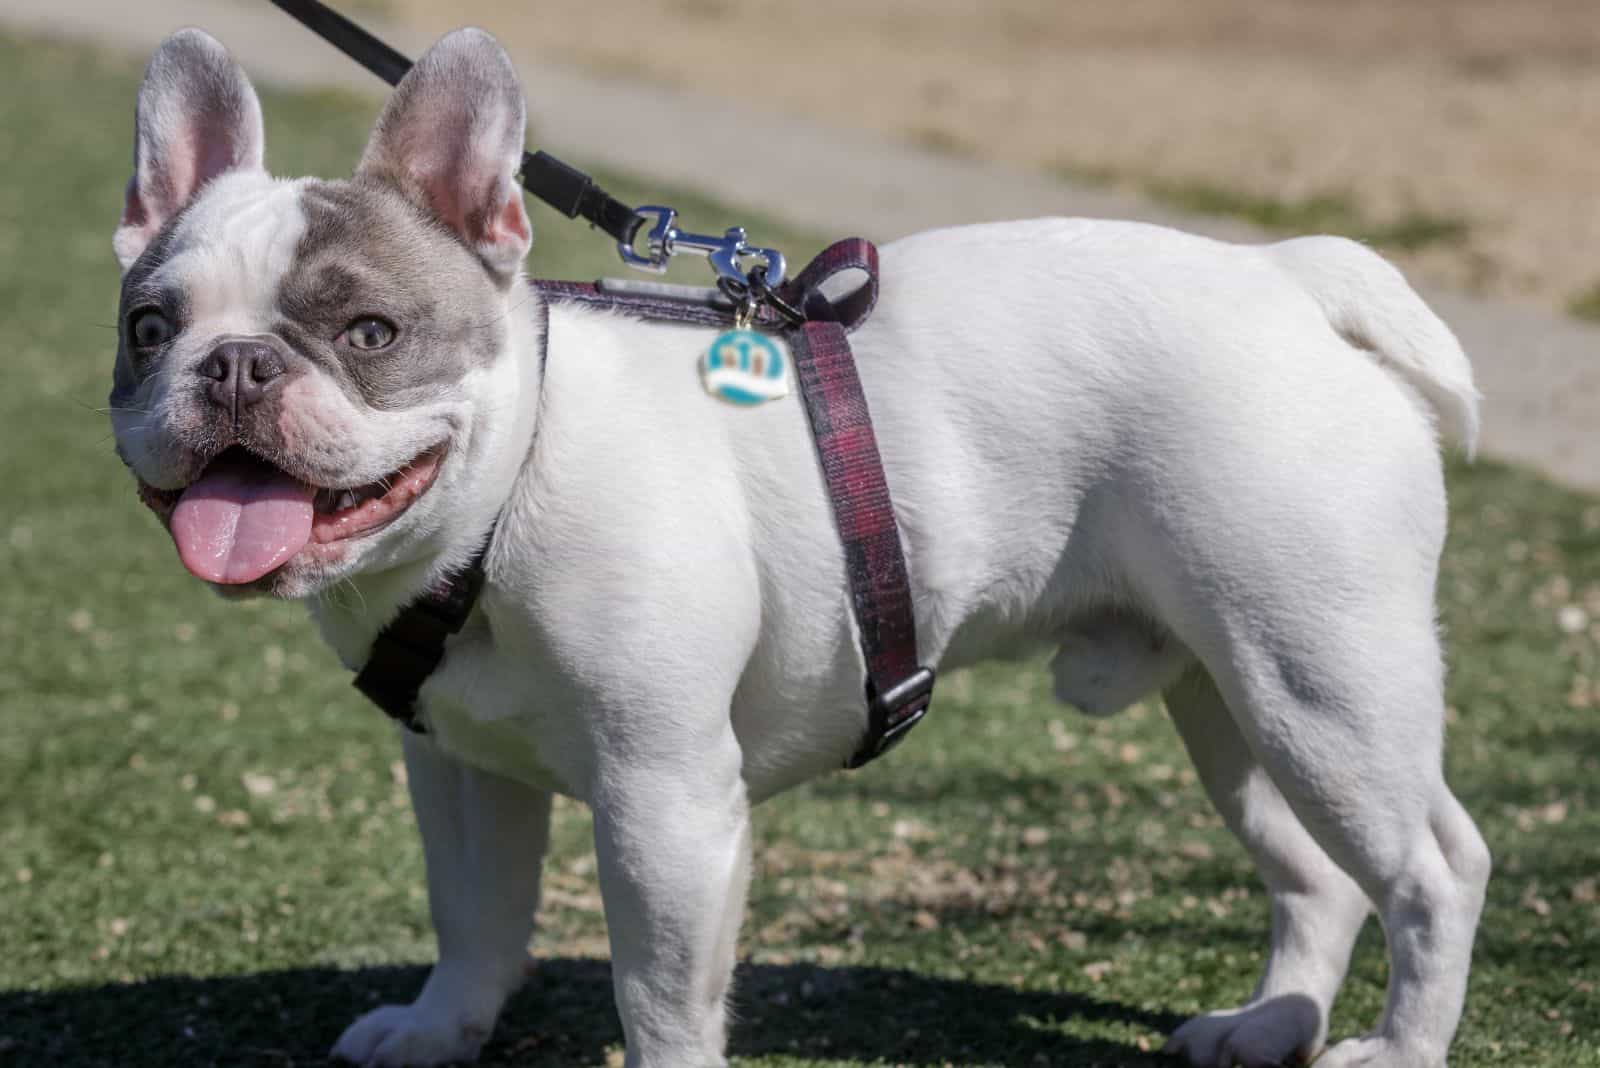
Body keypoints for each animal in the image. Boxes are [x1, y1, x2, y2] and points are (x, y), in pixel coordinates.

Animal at [109, 24, 1484, 1068]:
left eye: (371, 335)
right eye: (148, 328)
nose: (235, 366)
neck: (505, 499)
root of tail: (1289, 281)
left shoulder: (666, 801)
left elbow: (661, 995)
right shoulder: (459, 769)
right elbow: (475, 914)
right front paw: (440, 1030)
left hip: (1320, 686)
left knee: (1433, 870)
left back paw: (1395, 1049)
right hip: (1234, 697)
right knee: (1316, 873)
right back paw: (1270, 1025)